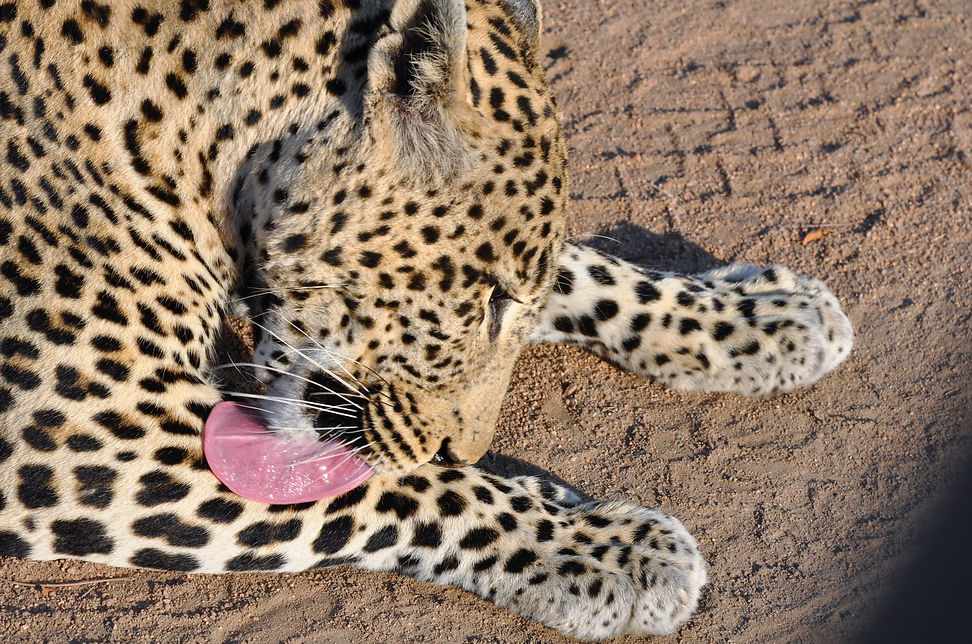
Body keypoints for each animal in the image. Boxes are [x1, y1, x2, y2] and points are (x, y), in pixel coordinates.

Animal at [0, 0, 853, 639]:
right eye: (483, 298)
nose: (463, 445)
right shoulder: (78, 424)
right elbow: (411, 490)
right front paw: (607, 552)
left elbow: (580, 268)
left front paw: (759, 316)